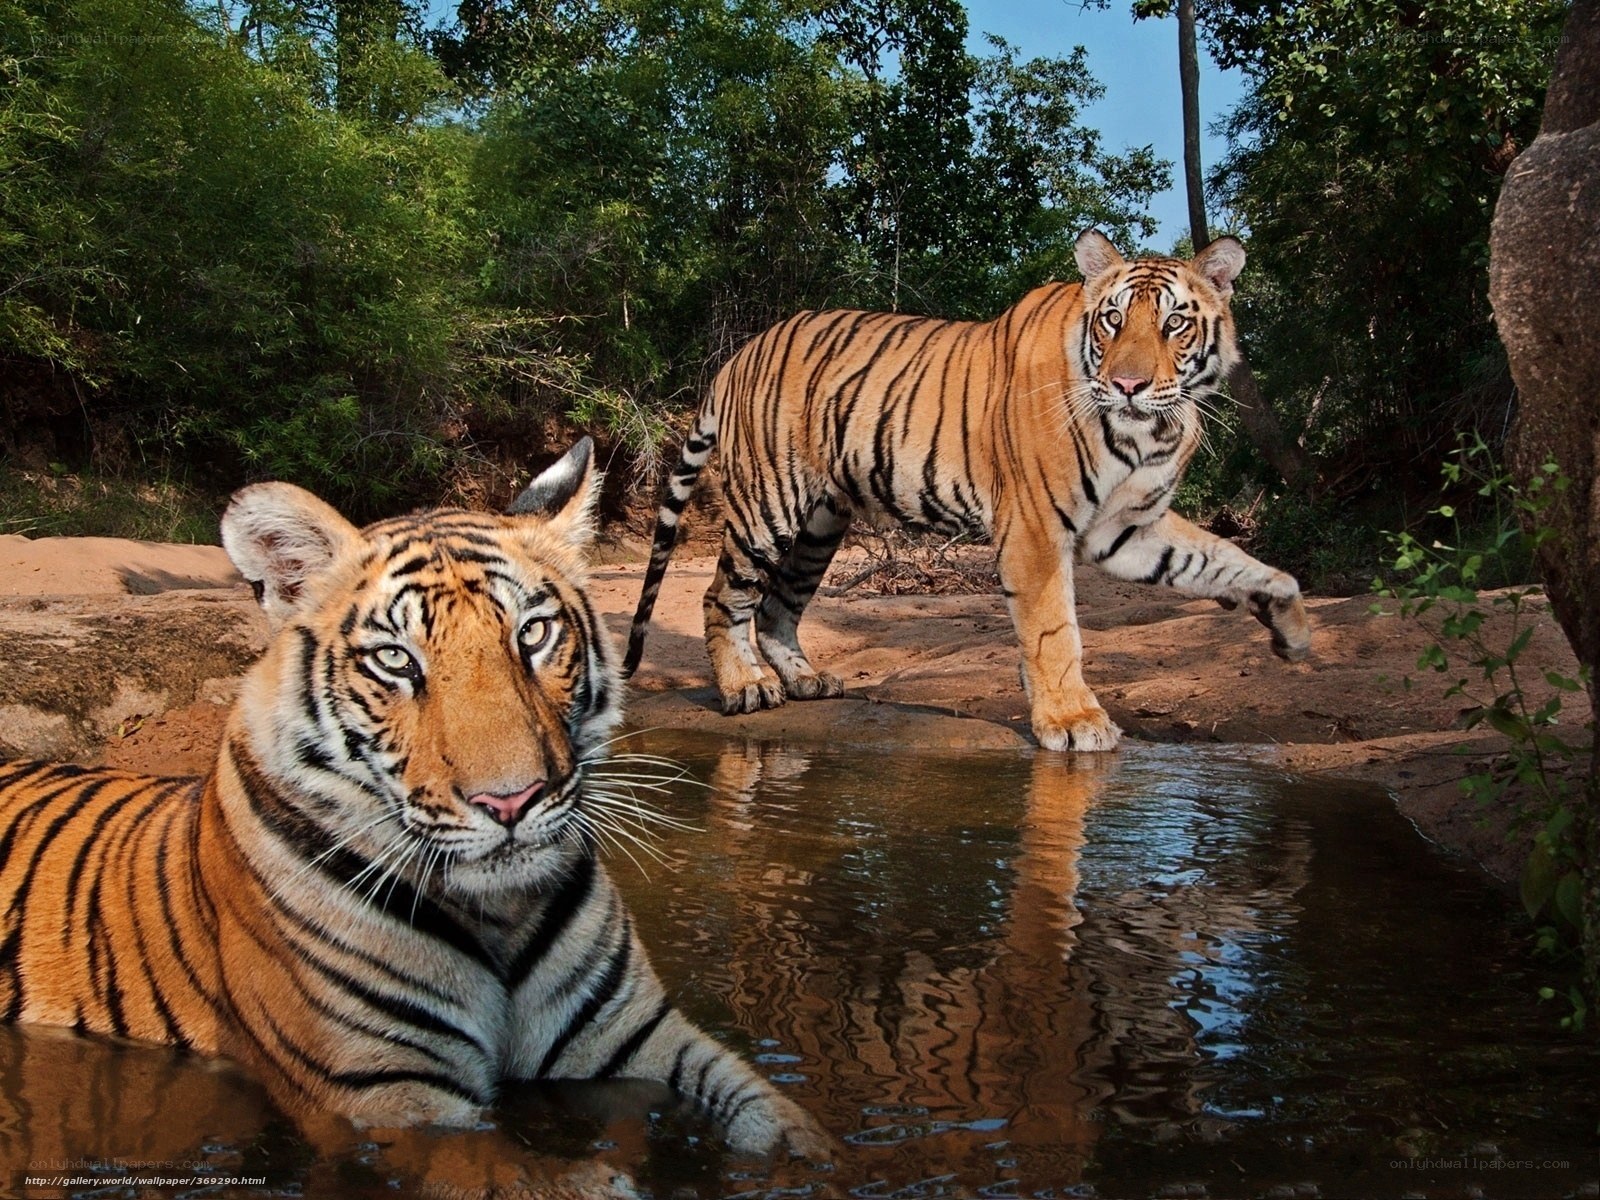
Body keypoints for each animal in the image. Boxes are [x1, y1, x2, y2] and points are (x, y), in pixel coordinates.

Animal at [0, 437, 828, 1159]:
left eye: (533, 635)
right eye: (397, 661)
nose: (512, 801)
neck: (500, 917)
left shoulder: (634, 1032)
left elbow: (775, 1115)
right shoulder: (389, 1093)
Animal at [623, 231, 1312, 751]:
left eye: (1174, 324)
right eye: (1114, 320)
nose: (1128, 385)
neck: (1146, 432)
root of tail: (740, 354)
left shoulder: (1127, 528)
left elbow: (1226, 558)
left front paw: (1291, 623)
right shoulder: (1036, 529)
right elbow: (1054, 631)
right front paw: (1074, 721)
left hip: (820, 525)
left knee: (776, 606)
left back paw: (804, 681)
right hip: (769, 506)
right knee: (723, 596)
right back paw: (744, 688)